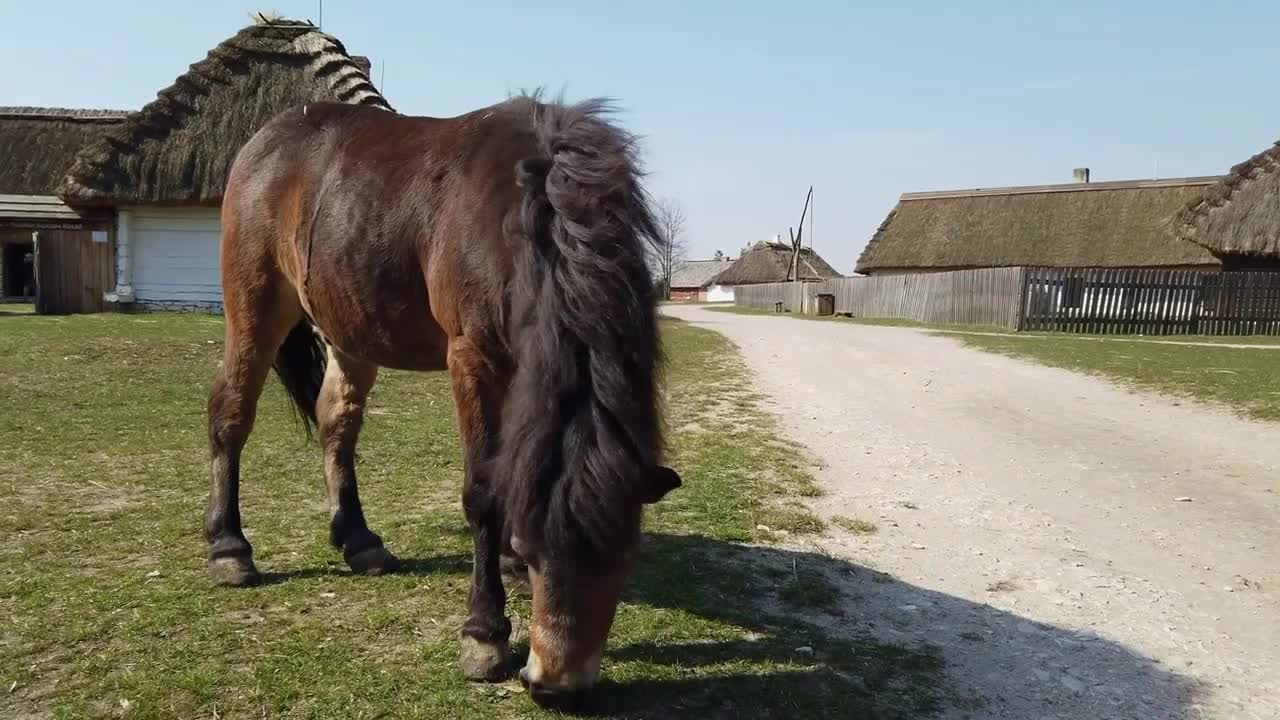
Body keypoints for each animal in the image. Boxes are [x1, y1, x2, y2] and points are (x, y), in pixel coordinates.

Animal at [200, 90, 686, 707]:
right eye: (536, 553)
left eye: (624, 558)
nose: (554, 685)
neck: (529, 216)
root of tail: (262, 141)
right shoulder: (472, 357)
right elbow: (483, 491)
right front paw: (484, 634)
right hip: (255, 304)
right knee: (230, 413)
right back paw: (229, 548)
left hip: (349, 327)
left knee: (336, 424)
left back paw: (359, 541)